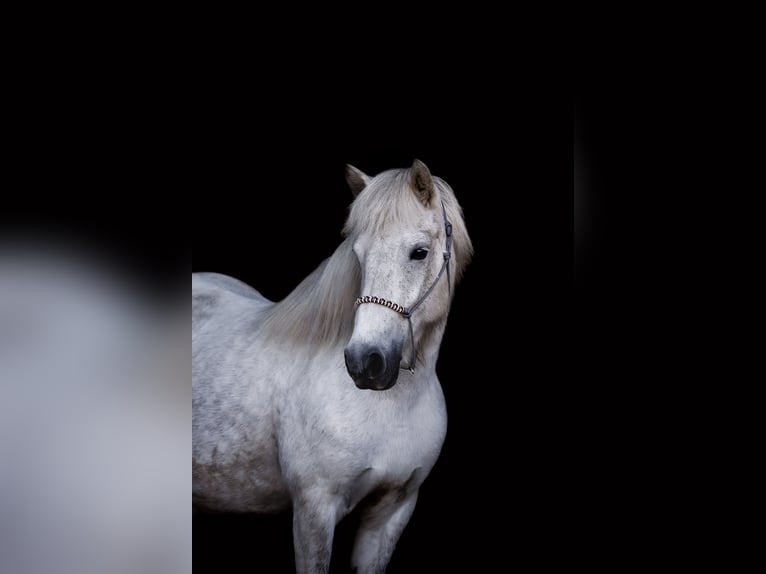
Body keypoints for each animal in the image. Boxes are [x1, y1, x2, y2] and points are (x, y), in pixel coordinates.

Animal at [192, 159, 473, 573]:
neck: (391, 406)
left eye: (419, 252)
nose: (364, 362)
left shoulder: (392, 511)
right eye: (359, 254)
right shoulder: (315, 509)